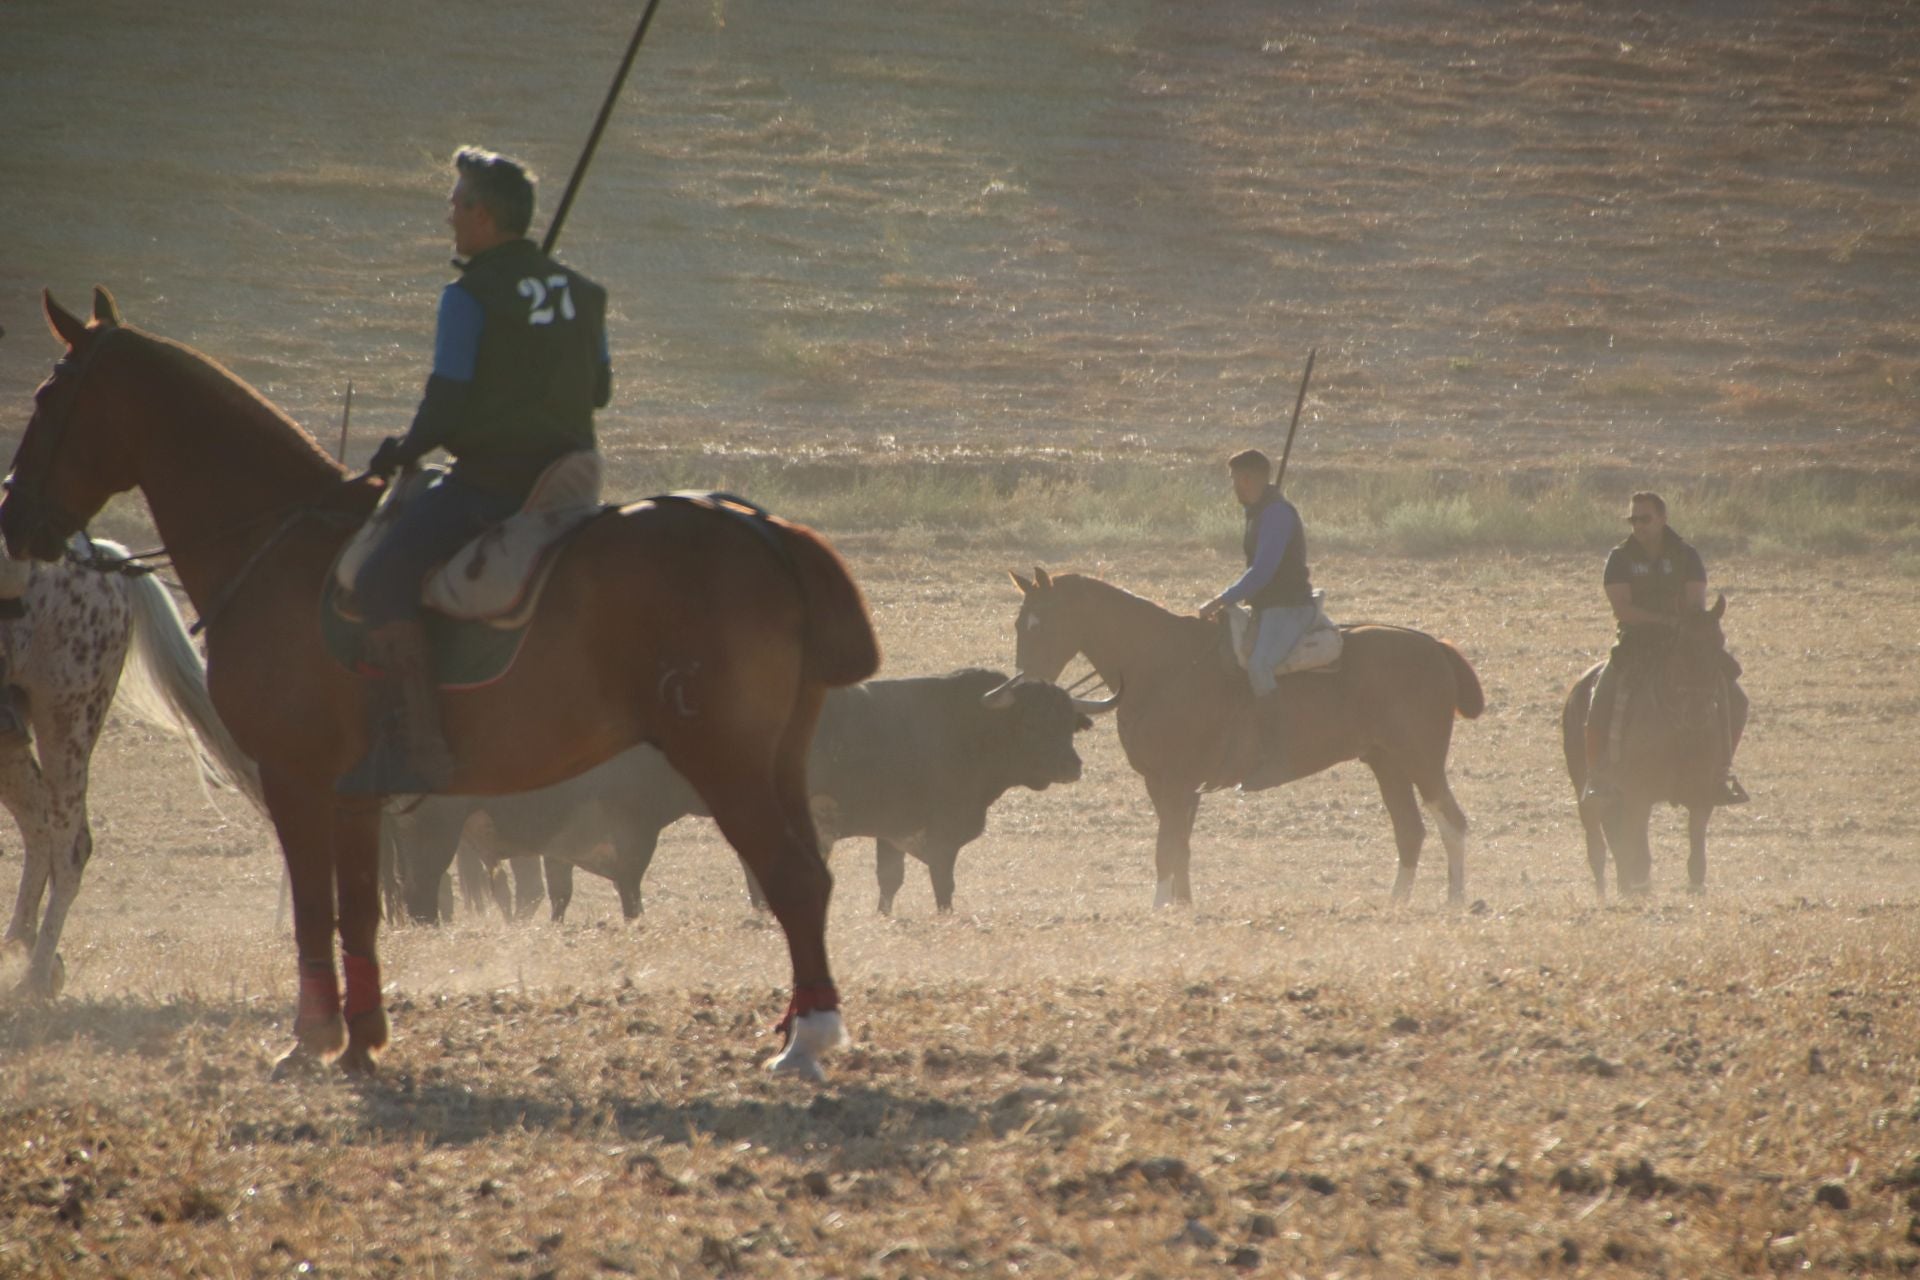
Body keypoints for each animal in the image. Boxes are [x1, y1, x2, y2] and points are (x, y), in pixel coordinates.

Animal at [3, 289, 879, 1082]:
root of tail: (764, 532)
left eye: (47, 396)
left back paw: (806, 1044)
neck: (282, 545)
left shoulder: (296, 779)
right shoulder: (356, 796)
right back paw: (802, 1023)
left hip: (727, 763)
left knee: (794, 878)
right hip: (776, 762)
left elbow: (315, 908)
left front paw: (312, 1039)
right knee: (812, 878)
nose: (13, 516)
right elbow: (359, 908)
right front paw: (362, 1039)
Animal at [387, 671, 1113, 921]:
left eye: (1066, 719)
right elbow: (938, 881)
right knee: (423, 889)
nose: (1073, 765)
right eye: (1033, 721)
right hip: (436, 836)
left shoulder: (894, 828)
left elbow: (891, 881)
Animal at [1006, 564, 1482, 905]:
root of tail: (1434, 646)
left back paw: (1455, 902)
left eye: (1042, 622)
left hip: (1421, 759)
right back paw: (1395, 904)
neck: (1163, 665)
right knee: (1410, 830)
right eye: (1017, 623)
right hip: (1386, 762)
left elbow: (1166, 848)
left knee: (1452, 822)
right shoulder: (1167, 785)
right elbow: (1180, 847)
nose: (1026, 685)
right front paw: (1182, 907)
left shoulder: (1176, 781)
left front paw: (1158, 910)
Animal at [1551, 594, 1751, 898]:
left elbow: (1696, 860)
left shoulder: (1702, 796)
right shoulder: (1639, 796)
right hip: (1588, 791)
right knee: (1598, 847)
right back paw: (1604, 896)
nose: (1697, 710)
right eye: (1682, 645)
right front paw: (1640, 891)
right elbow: (1640, 856)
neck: (1679, 731)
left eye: (1719, 641)